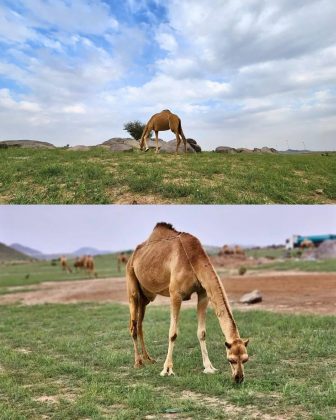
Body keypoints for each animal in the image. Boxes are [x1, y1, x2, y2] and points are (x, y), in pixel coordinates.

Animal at [126, 223, 249, 384]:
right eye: (231, 359)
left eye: (245, 359)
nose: (239, 378)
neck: (193, 259)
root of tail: (131, 258)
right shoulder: (175, 294)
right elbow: (173, 333)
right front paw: (167, 370)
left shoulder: (203, 293)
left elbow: (202, 332)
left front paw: (209, 367)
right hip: (132, 285)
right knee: (133, 325)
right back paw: (138, 362)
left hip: (146, 297)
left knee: (140, 324)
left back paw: (148, 359)